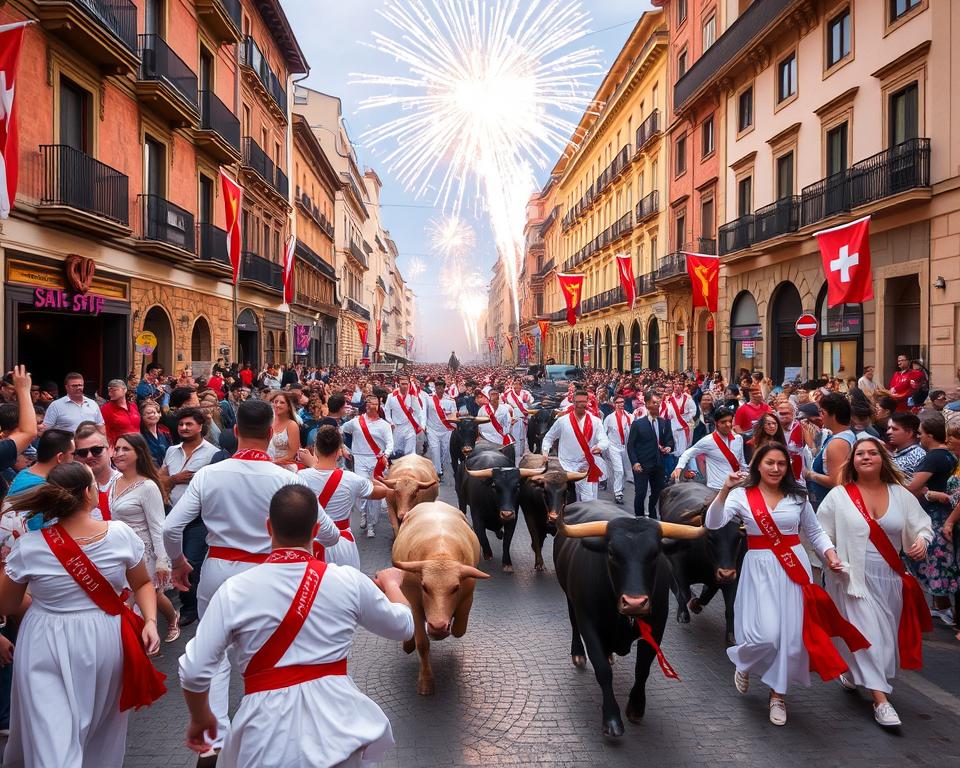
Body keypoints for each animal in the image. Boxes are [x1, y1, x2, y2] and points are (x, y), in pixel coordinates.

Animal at [390, 504, 488, 696]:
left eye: (455, 588)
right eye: (424, 587)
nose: (437, 625)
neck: (440, 554)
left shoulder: (467, 597)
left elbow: (458, 630)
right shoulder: (414, 603)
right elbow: (422, 643)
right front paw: (426, 681)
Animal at [556, 500, 704, 736]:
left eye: (655, 553)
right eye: (611, 552)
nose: (635, 602)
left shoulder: (657, 625)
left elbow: (642, 668)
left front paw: (636, 708)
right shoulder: (588, 622)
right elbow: (602, 670)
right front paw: (612, 719)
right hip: (570, 599)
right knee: (573, 624)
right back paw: (578, 654)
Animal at [660, 484, 752, 644]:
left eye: (739, 538)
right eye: (711, 536)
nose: (726, 573)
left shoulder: (731, 578)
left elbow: (728, 605)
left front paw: (731, 636)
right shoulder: (674, 564)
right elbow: (683, 592)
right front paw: (683, 613)